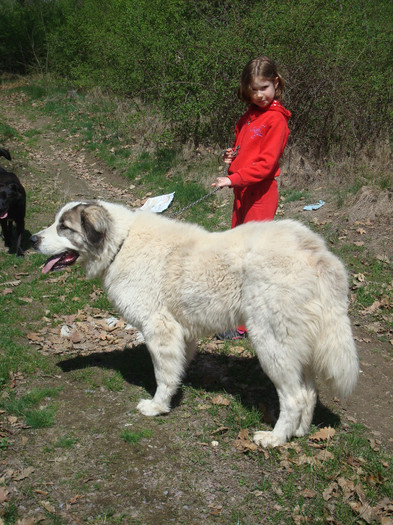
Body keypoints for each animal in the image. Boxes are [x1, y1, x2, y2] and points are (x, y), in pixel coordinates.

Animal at [30, 201, 356, 446]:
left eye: (64, 227)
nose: (32, 239)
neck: (120, 243)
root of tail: (316, 251)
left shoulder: (160, 329)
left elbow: (162, 375)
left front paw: (157, 407)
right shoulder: (181, 333)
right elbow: (174, 371)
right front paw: (171, 397)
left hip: (272, 343)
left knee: (295, 397)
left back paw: (275, 438)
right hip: (296, 345)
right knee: (309, 392)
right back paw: (298, 432)